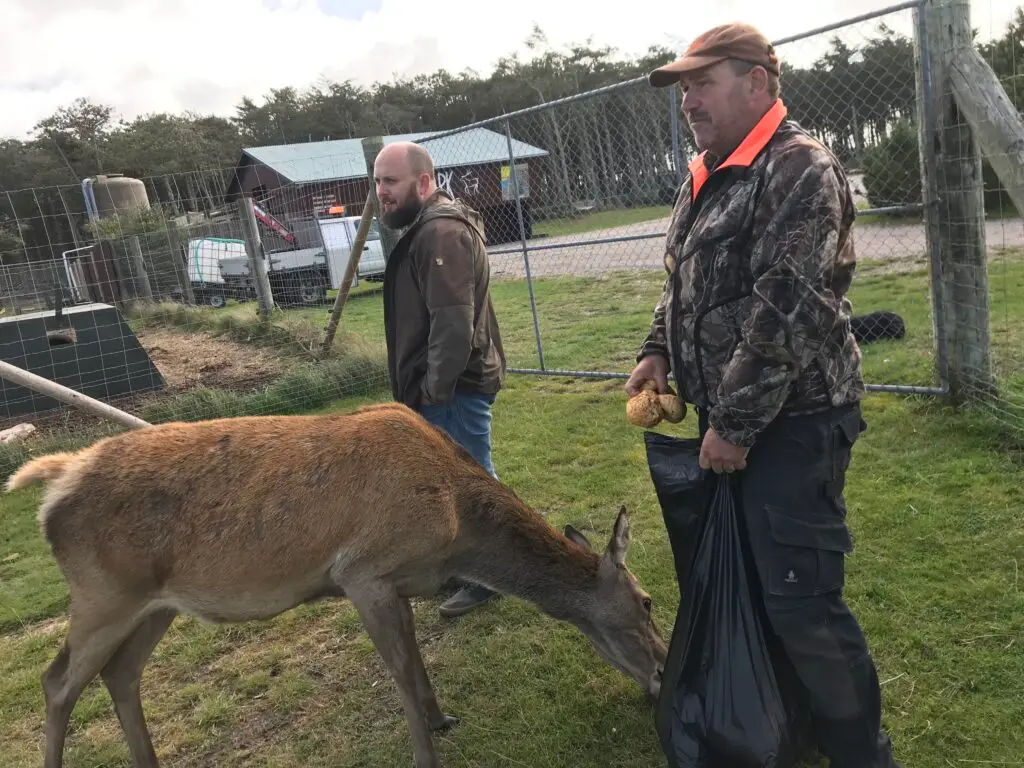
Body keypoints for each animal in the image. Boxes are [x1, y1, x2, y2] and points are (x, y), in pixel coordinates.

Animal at [5, 401, 668, 768]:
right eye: (647, 600)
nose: (664, 673)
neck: (457, 522)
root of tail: (55, 487)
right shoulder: (362, 572)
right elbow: (399, 671)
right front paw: (426, 754)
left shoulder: (397, 582)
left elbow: (416, 661)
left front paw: (441, 719)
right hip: (103, 594)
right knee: (57, 681)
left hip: (156, 604)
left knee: (120, 673)